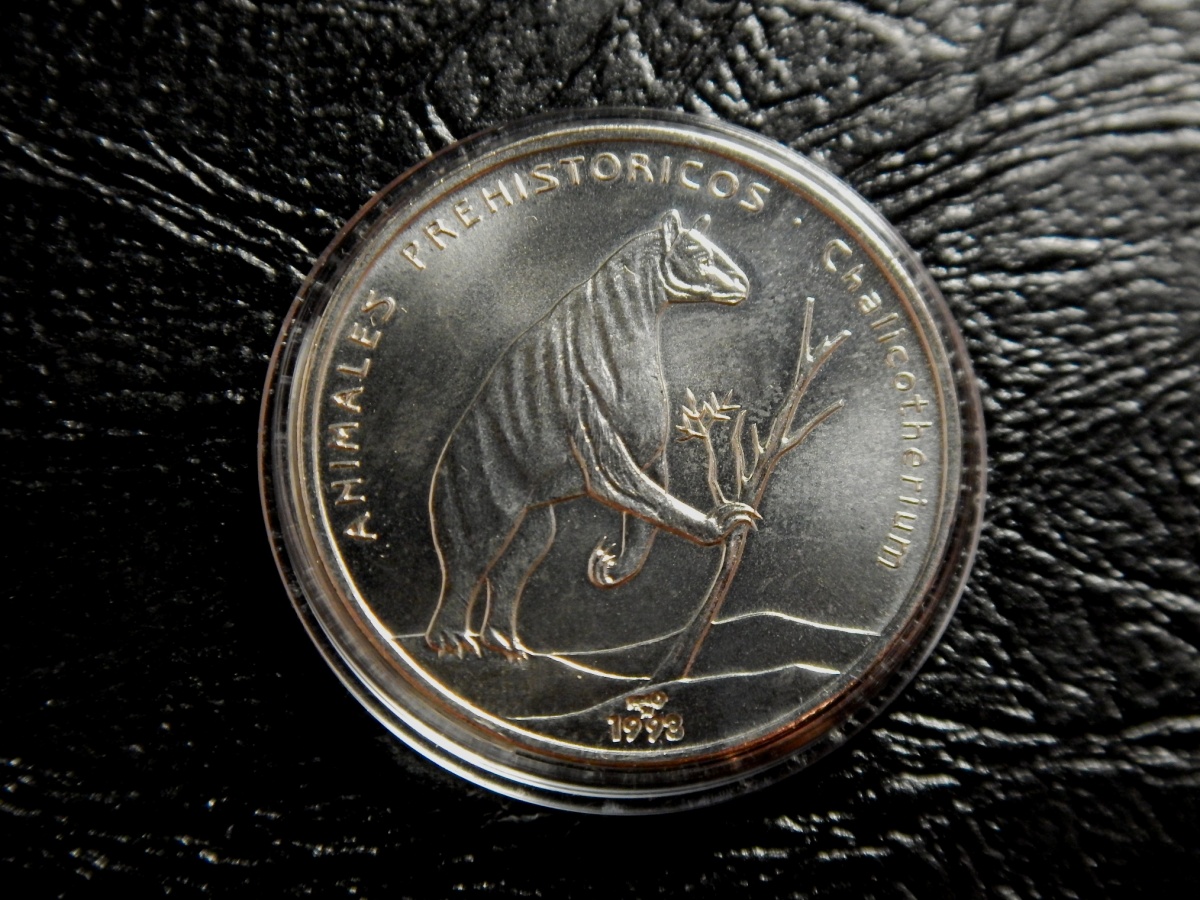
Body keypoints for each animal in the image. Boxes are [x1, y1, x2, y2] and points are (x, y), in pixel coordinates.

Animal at [425, 209, 759, 658]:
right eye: (699, 254)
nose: (743, 283)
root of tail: (442, 468)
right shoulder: (601, 452)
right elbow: (654, 502)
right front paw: (720, 522)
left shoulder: (649, 457)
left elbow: (648, 519)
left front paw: (612, 566)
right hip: (485, 519)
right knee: (464, 574)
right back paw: (451, 641)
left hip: (535, 529)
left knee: (507, 576)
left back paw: (506, 644)